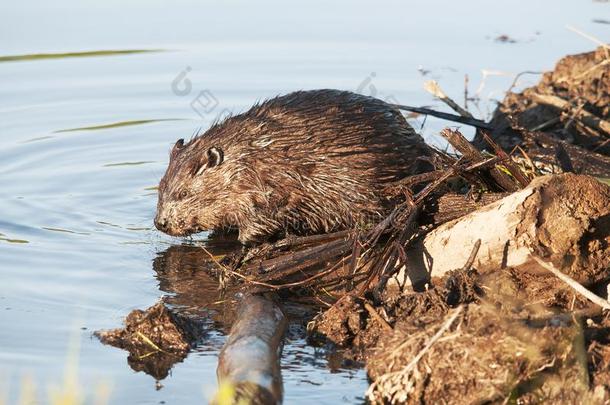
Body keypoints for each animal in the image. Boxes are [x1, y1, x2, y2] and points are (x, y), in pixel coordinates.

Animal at [157, 89, 432, 243]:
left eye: (183, 193)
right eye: (160, 188)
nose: (160, 223)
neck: (247, 155)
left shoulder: (270, 186)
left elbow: (264, 218)